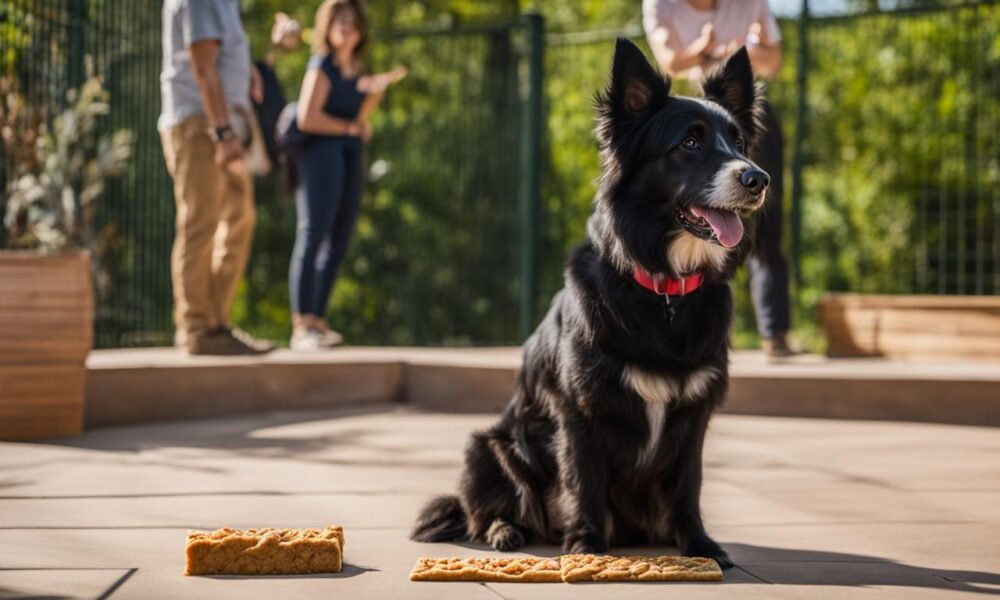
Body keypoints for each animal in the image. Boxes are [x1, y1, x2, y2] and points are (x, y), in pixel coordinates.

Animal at [410, 38, 768, 568]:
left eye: (739, 144)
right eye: (689, 143)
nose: (758, 179)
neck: (662, 290)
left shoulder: (694, 413)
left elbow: (688, 485)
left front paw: (700, 545)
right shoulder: (579, 409)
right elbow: (584, 481)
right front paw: (585, 545)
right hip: (488, 447)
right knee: (487, 509)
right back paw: (504, 533)